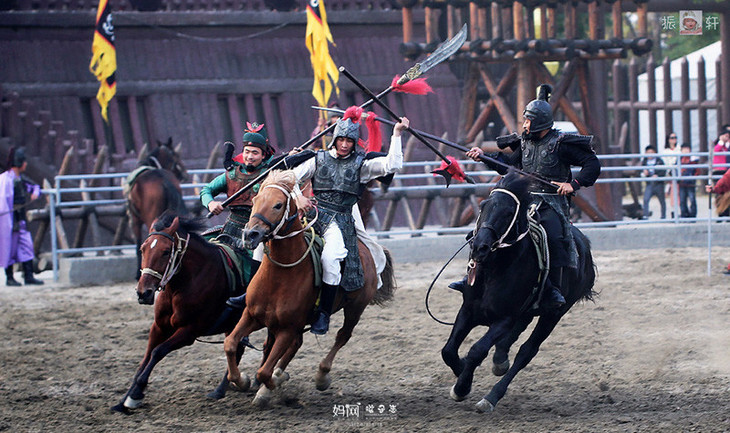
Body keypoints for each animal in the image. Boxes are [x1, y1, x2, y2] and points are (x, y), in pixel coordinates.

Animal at [111, 211, 248, 414]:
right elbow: (145, 359)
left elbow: (158, 352)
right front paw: (124, 400)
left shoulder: (189, 331)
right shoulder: (159, 327)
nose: (143, 293)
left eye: (165, 251)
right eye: (143, 249)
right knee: (237, 348)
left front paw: (136, 394)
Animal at [222, 170, 396, 407]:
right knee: (295, 345)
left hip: (355, 308)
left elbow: (264, 372)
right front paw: (242, 381)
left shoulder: (287, 328)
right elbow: (231, 343)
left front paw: (269, 386)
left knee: (342, 336)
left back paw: (321, 376)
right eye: (255, 200)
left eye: (278, 205)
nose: (250, 234)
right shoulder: (252, 316)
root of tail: (367, 250)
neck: (279, 276)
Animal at [441, 170, 597, 413]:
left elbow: (477, 350)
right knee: (511, 340)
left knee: (526, 352)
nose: (479, 247)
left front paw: (462, 387)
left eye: (508, 213)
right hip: (528, 312)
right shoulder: (467, 310)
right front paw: (462, 373)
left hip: (553, 314)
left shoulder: (504, 318)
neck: (495, 270)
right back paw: (499, 361)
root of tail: (584, 247)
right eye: (483, 206)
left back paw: (491, 397)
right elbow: (448, 350)